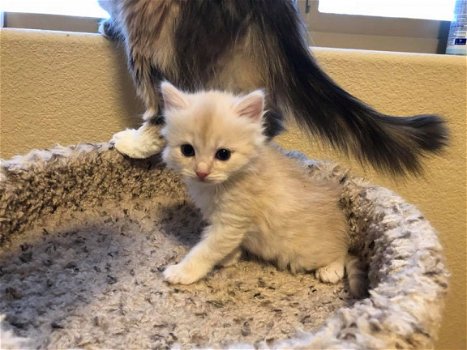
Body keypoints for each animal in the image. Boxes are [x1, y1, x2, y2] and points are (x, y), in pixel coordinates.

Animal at [161, 82, 370, 298]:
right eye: (187, 150)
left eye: (223, 154)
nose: (201, 172)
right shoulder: (229, 224)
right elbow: (226, 245)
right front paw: (230, 257)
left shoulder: (231, 222)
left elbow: (205, 250)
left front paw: (182, 272)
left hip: (306, 252)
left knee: (339, 254)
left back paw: (330, 269)